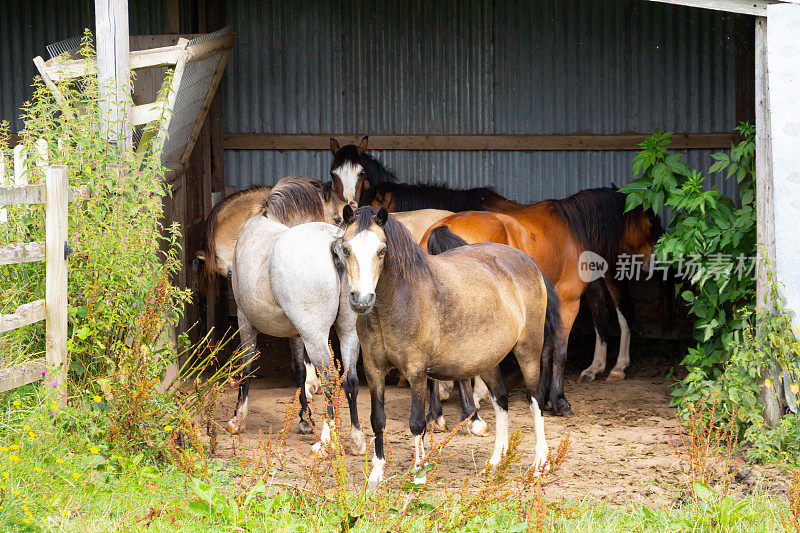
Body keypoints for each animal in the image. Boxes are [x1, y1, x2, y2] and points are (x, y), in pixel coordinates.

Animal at [228, 178, 366, 454]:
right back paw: (356, 440)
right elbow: (300, 371)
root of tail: (336, 246)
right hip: (347, 331)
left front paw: (238, 419)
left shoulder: (244, 320)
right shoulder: (296, 332)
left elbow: (247, 365)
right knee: (350, 379)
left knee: (331, 380)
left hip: (316, 337)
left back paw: (326, 442)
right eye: (338, 217)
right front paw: (304, 419)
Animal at [334, 206, 560, 484]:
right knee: (501, 397)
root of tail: (528, 261)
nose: (362, 299)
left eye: (382, 251)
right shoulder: (374, 370)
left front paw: (418, 475)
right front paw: (376, 474)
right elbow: (378, 419)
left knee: (534, 397)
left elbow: (417, 422)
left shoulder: (417, 372)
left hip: (528, 349)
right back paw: (495, 462)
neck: (399, 300)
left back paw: (539, 463)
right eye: (346, 249)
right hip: (487, 359)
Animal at [418, 189, 664, 418]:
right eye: (651, 221)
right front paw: (559, 401)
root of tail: (442, 227)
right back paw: (470, 414)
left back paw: (437, 416)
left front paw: (542, 396)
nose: (656, 260)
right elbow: (560, 351)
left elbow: (545, 350)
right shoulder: (568, 303)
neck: (574, 229)